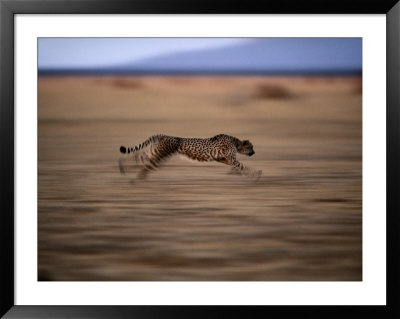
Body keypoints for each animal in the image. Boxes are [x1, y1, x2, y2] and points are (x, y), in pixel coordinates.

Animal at [119, 134, 262, 180]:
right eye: (251, 147)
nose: (254, 152)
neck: (236, 143)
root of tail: (163, 135)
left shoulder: (222, 159)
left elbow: (238, 166)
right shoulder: (231, 159)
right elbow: (242, 165)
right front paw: (256, 173)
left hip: (155, 152)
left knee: (139, 156)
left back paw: (123, 168)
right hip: (160, 154)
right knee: (146, 163)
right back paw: (137, 177)